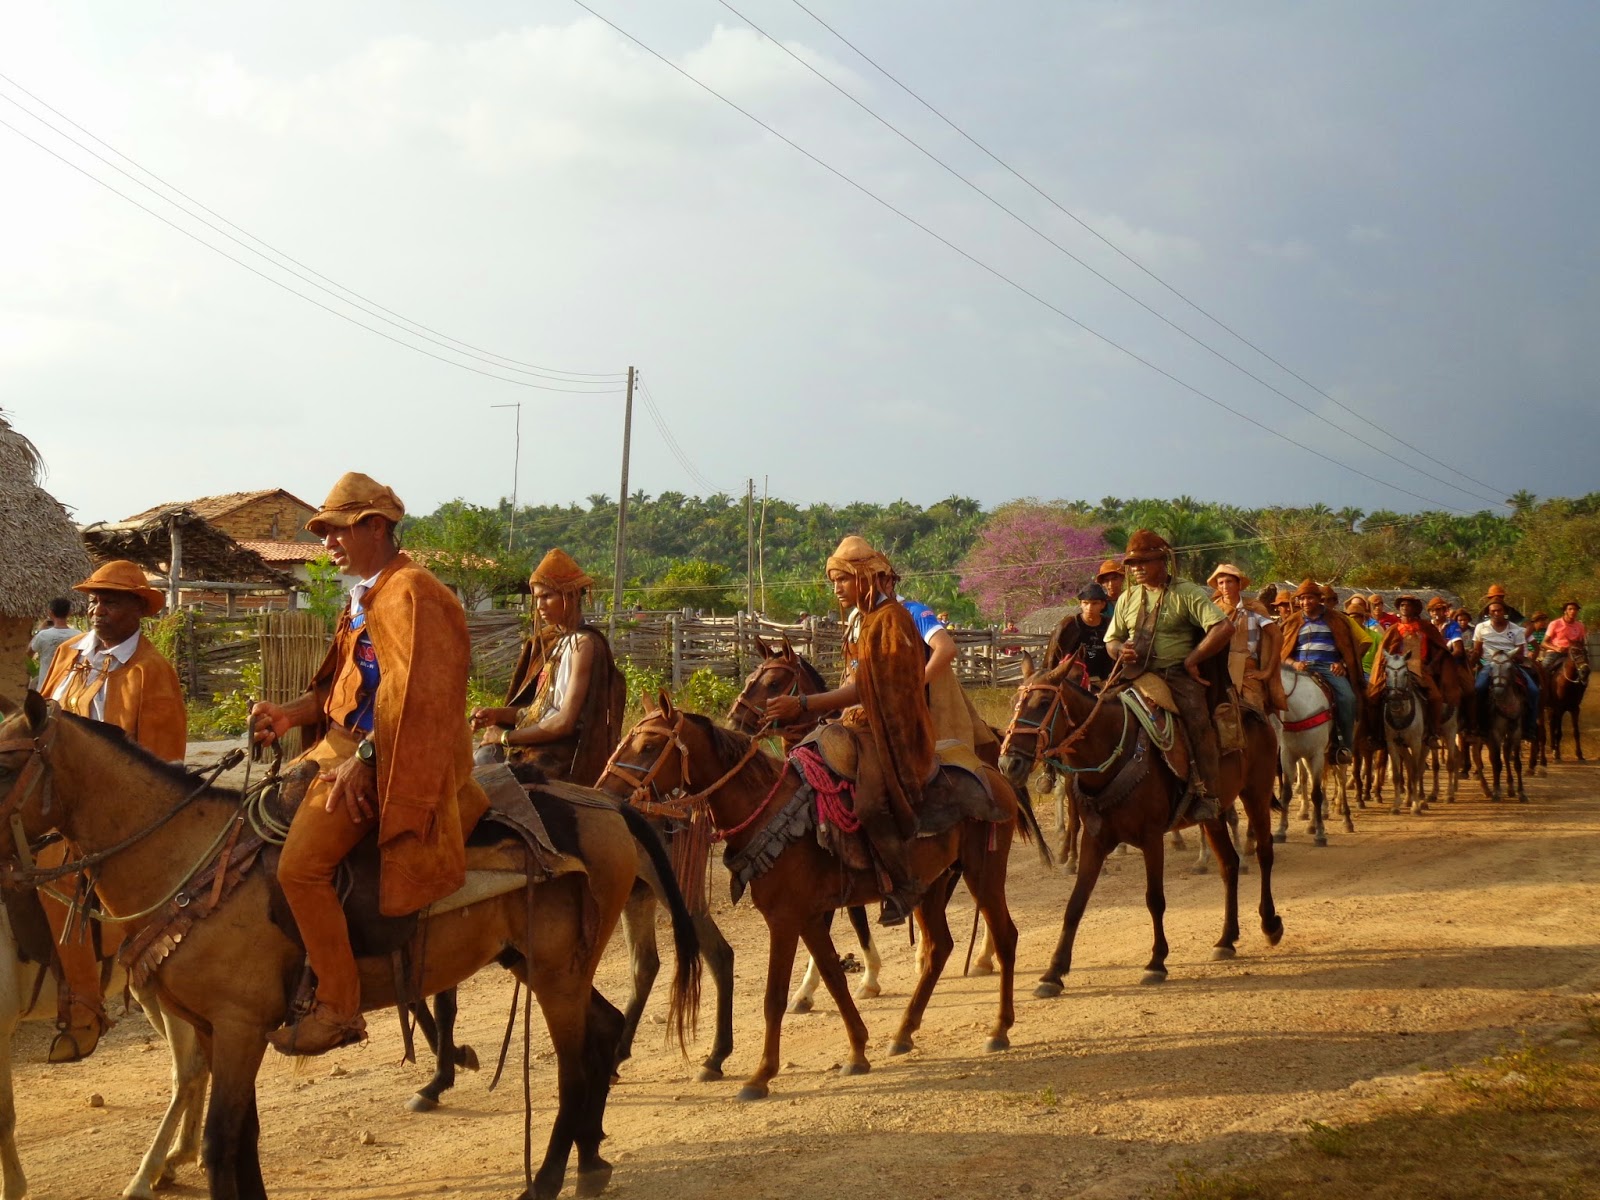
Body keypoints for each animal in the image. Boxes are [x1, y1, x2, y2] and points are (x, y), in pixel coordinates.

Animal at [0, 694, 700, 1200]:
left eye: (6, 762)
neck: (190, 860)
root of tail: (604, 804)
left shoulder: (239, 1026)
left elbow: (223, 1145)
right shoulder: (216, 1027)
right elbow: (243, 1138)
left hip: (556, 972)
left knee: (577, 1067)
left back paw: (550, 1179)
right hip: (545, 965)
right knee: (604, 1031)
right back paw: (593, 1159)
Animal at [601, 700, 1024, 1107]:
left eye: (649, 745)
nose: (607, 793)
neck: (769, 811)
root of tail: (994, 773)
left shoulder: (784, 920)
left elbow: (774, 998)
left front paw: (761, 1076)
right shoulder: (809, 918)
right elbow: (834, 977)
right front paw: (857, 1051)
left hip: (983, 874)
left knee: (1005, 937)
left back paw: (999, 1029)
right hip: (930, 886)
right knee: (939, 947)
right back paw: (903, 1033)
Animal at [998, 659, 1286, 998]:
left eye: (1044, 702)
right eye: (1014, 703)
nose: (1009, 764)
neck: (1112, 753)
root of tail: (1256, 711)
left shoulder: (1151, 838)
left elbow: (1154, 899)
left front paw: (1156, 962)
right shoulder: (1094, 841)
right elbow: (1075, 904)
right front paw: (1053, 973)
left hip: (1257, 792)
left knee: (1265, 853)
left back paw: (1270, 924)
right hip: (1214, 814)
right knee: (1229, 865)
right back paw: (1226, 939)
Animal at [1376, 652, 1427, 825]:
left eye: (1405, 674)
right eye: (1386, 673)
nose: (1395, 701)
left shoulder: (1416, 743)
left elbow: (1417, 772)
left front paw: (1416, 807)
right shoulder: (1392, 744)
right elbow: (1398, 775)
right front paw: (1396, 806)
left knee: (1417, 768)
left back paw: (1421, 800)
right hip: (1402, 746)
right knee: (1410, 766)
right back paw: (1408, 799)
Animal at [1478, 652, 1529, 803]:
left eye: (1510, 668)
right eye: (1491, 668)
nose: (1498, 691)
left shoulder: (1516, 731)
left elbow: (1516, 762)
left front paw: (1521, 792)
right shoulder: (1495, 732)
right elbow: (1497, 762)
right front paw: (1496, 791)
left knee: (1505, 753)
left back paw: (1508, 788)